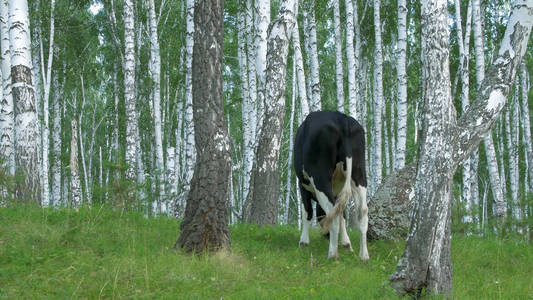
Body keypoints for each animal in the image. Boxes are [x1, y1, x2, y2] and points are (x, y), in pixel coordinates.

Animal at [294, 110, 368, 260]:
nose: (326, 236)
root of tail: (342, 118)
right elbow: (342, 215)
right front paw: (346, 244)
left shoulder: (302, 185)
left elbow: (308, 212)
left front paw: (303, 242)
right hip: (359, 173)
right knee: (362, 211)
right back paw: (364, 256)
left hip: (320, 177)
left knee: (331, 211)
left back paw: (332, 254)